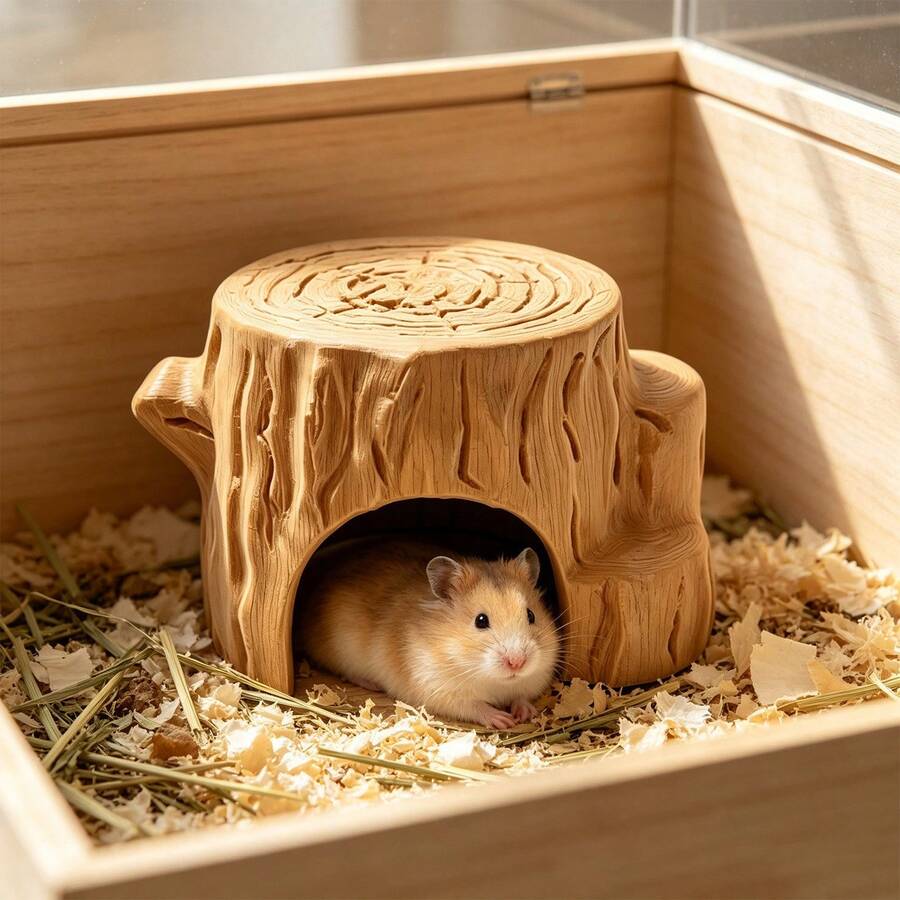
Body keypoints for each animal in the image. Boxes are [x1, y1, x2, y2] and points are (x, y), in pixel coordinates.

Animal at [297, 538, 560, 729]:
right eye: (481, 621)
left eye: (531, 615)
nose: (517, 663)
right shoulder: (440, 690)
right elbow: (475, 707)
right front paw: (503, 720)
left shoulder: (534, 679)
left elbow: (522, 696)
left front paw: (524, 713)